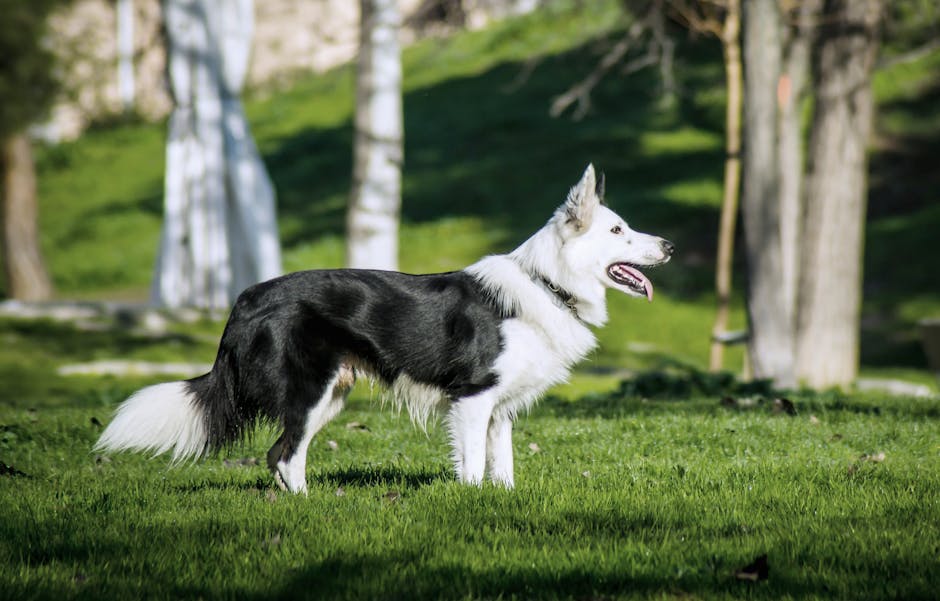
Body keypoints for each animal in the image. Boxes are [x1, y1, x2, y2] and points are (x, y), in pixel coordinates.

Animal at [95, 165, 672, 492]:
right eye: (617, 230)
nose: (667, 246)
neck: (547, 282)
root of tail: (246, 298)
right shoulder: (472, 398)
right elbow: (472, 468)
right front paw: (471, 504)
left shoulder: (501, 409)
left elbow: (502, 468)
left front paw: (502, 505)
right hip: (311, 390)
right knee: (287, 454)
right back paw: (310, 509)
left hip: (332, 394)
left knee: (278, 455)